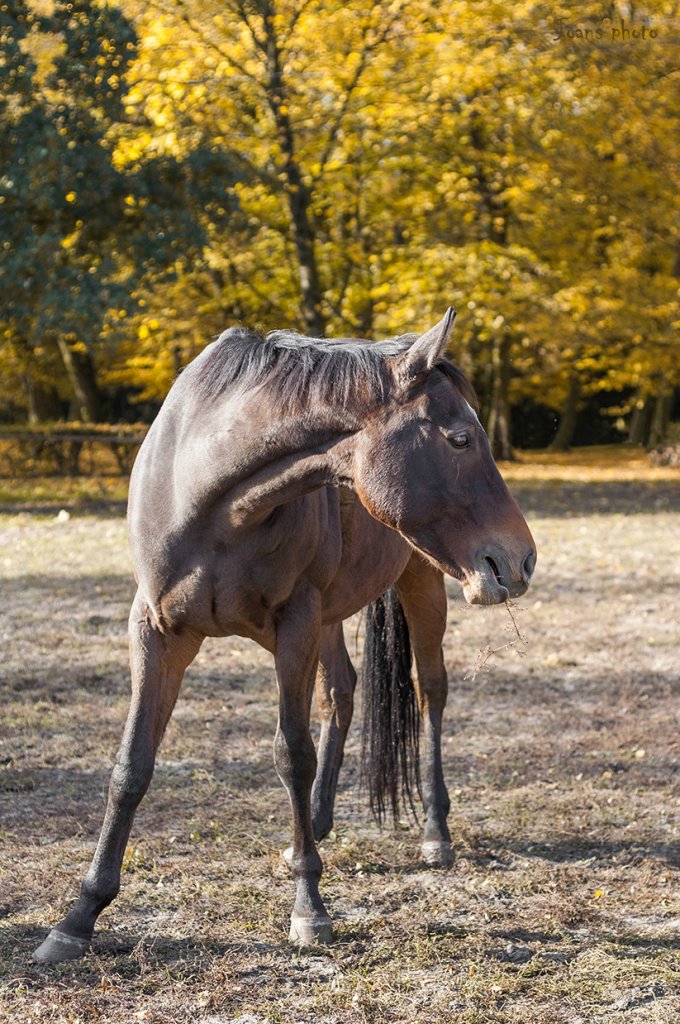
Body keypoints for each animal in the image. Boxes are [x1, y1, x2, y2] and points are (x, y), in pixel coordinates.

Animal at [33, 307, 536, 962]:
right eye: (459, 439)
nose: (522, 558)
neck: (210, 500)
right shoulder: (156, 630)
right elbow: (131, 766)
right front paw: (79, 916)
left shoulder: (293, 624)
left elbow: (291, 753)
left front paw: (309, 907)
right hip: (332, 613)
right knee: (342, 692)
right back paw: (315, 826)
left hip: (420, 582)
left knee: (430, 691)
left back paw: (434, 831)